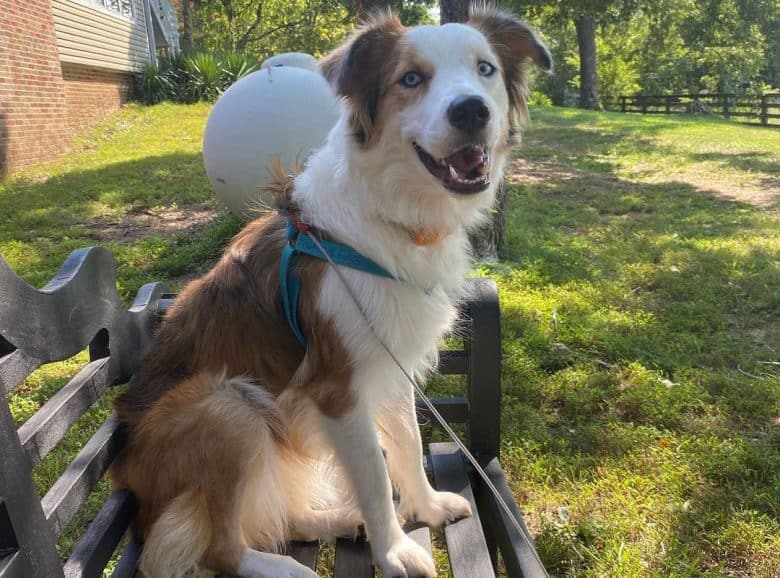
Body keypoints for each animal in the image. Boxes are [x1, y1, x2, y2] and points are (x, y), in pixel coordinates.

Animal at [112, 5, 552, 576]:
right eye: (411, 79)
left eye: (486, 70)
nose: (472, 111)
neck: (389, 213)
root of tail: (134, 495)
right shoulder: (337, 387)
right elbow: (374, 474)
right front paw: (395, 551)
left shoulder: (391, 363)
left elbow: (406, 442)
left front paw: (427, 507)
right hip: (227, 405)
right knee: (219, 546)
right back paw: (288, 567)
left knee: (279, 514)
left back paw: (336, 521)